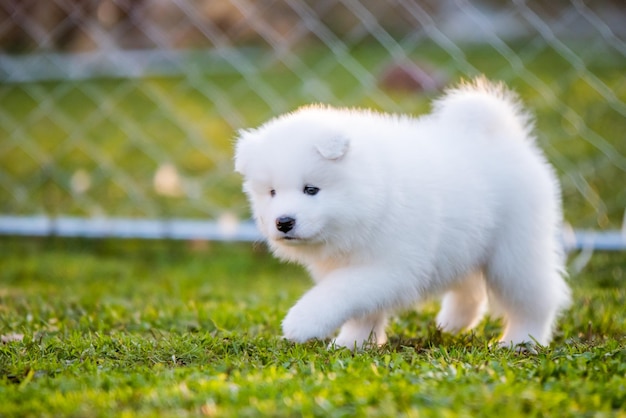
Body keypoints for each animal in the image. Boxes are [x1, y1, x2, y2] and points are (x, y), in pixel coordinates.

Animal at [234, 77, 572, 350]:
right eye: (272, 193)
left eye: (311, 189)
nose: (283, 222)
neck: (371, 198)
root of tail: (502, 136)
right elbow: (361, 310)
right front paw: (352, 344)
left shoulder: (389, 266)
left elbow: (340, 291)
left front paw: (302, 322)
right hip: (467, 242)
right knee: (471, 289)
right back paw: (453, 323)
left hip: (515, 253)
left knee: (535, 299)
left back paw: (521, 341)